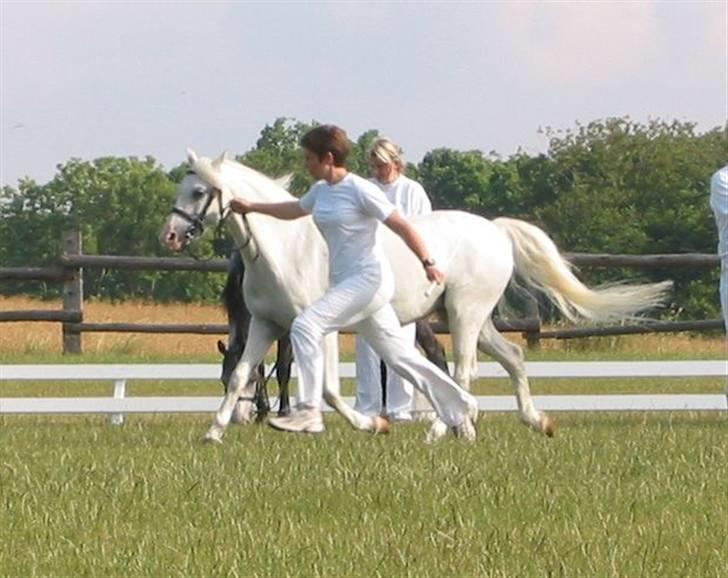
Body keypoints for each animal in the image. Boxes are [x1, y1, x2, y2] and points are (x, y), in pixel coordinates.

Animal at [160, 150, 672, 444]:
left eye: (199, 190)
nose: (171, 235)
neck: (285, 247)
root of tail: (495, 231)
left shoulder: (314, 326)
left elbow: (321, 385)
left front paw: (368, 423)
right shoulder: (266, 325)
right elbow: (242, 373)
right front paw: (214, 431)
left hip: (464, 315)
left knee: (463, 370)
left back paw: (446, 428)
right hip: (477, 319)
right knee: (512, 357)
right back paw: (533, 420)